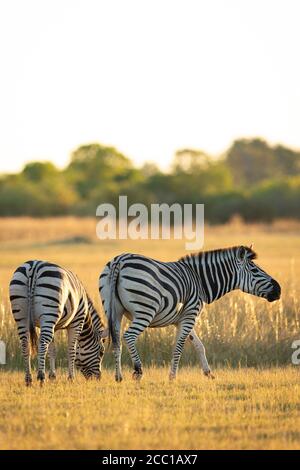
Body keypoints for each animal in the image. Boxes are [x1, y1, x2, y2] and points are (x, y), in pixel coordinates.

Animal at [99, 246, 280, 382]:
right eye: (255, 270)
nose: (279, 290)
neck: (200, 281)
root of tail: (119, 261)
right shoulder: (190, 314)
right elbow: (179, 347)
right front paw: (172, 377)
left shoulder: (183, 318)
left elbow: (199, 345)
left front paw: (208, 373)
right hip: (145, 310)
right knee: (128, 336)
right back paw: (138, 371)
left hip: (114, 311)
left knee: (116, 341)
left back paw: (118, 377)